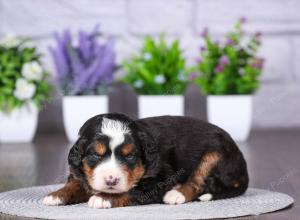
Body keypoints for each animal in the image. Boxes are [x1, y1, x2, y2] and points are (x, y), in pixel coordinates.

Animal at [42, 113, 248, 208]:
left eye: (130, 156)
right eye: (96, 155)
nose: (111, 180)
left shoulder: (159, 180)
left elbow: (132, 190)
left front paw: (103, 198)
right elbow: (76, 183)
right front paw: (56, 195)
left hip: (214, 154)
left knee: (198, 183)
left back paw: (176, 194)